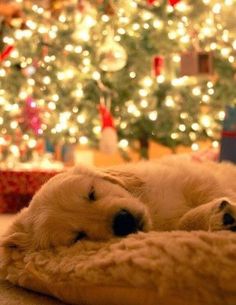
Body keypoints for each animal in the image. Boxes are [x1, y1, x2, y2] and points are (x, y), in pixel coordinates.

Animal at [1, 154, 236, 249]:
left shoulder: (195, 179)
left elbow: (209, 192)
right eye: (78, 237)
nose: (123, 221)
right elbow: (185, 222)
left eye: (92, 193)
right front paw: (219, 217)